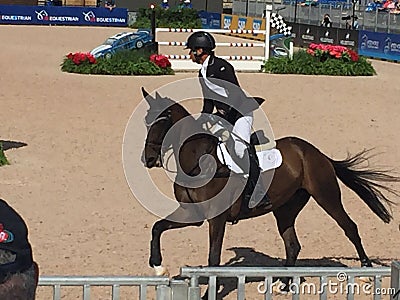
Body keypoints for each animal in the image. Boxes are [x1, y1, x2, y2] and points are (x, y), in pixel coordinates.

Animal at [140, 88, 396, 280]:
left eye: (161, 122)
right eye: (146, 122)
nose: (148, 159)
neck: (195, 160)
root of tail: (316, 153)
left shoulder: (217, 218)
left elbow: (213, 258)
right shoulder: (193, 213)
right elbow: (157, 227)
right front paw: (158, 266)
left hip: (326, 195)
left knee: (349, 227)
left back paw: (366, 269)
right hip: (286, 208)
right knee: (292, 245)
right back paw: (284, 284)